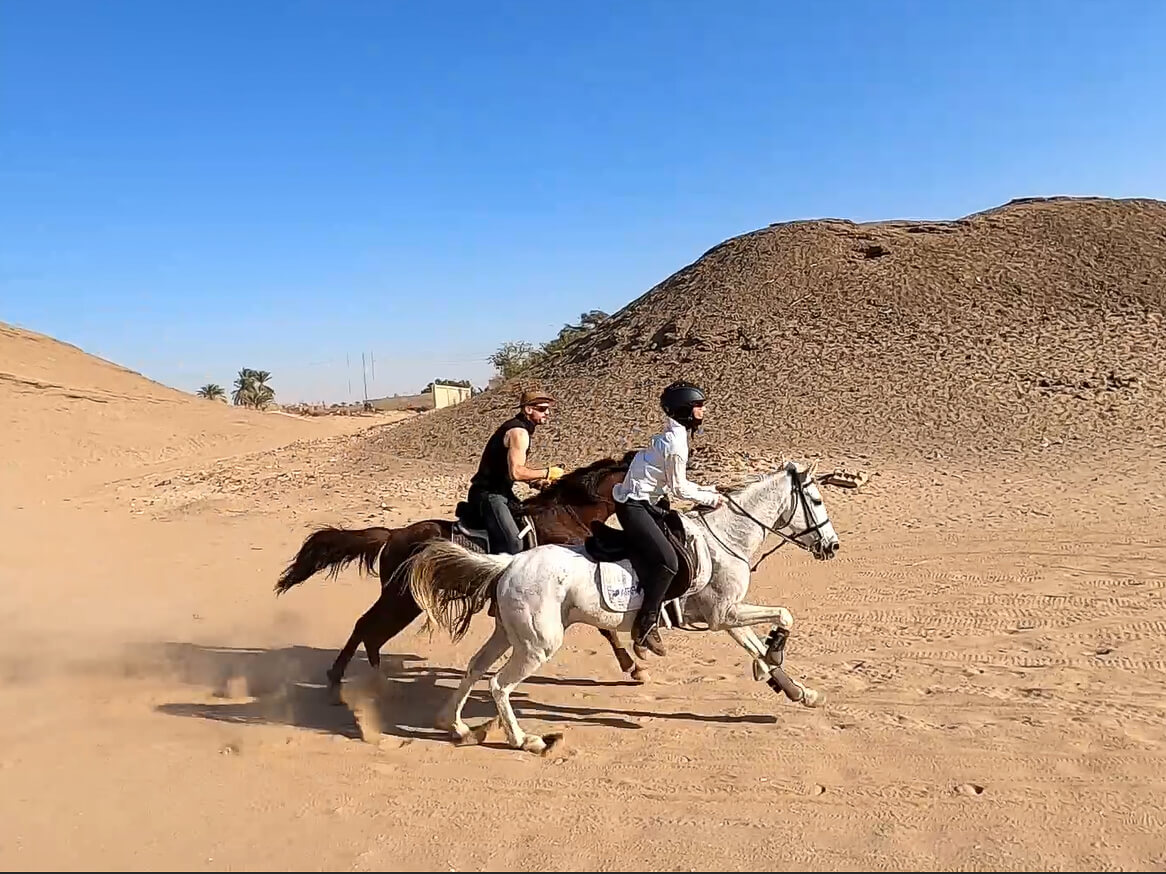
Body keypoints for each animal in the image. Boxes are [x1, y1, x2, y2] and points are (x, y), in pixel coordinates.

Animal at [276, 454, 652, 703]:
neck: (566, 515)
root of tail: (394, 534)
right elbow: (606, 629)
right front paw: (634, 666)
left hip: (402, 601)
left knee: (368, 630)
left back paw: (357, 677)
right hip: (402, 600)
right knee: (367, 627)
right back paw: (356, 679)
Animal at [398, 461, 839, 755]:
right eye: (816, 499)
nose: (832, 546)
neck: (724, 538)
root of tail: (509, 563)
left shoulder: (727, 615)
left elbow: (758, 644)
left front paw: (798, 691)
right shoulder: (723, 615)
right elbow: (783, 616)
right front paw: (772, 658)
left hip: (509, 634)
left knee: (475, 668)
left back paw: (455, 726)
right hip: (538, 645)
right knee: (499, 685)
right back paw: (527, 740)